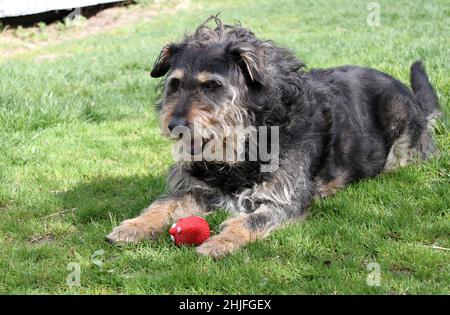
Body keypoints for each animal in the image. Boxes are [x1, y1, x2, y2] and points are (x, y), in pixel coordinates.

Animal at [107, 16, 442, 260]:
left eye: (212, 85)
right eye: (175, 84)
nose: (174, 125)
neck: (247, 139)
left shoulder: (284, 199)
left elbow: (251, 220)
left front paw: (219, 242)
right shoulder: (196, 187)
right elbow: (161, 205)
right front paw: (132, 226)